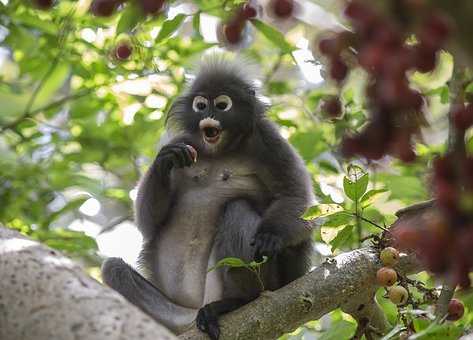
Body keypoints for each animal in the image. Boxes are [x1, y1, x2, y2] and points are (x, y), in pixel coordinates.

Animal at [103, 54, 316, 338]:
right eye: (201, 105)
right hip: (172, 314)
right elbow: (148, 224)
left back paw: (235, 302)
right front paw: (164, 160)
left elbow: (298, 199)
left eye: (222, 105)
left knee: (238, 209)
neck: (220, 150)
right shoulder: (185, 140)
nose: (209, 116)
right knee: (113, 269)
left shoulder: (269, 140)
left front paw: (271, 235)